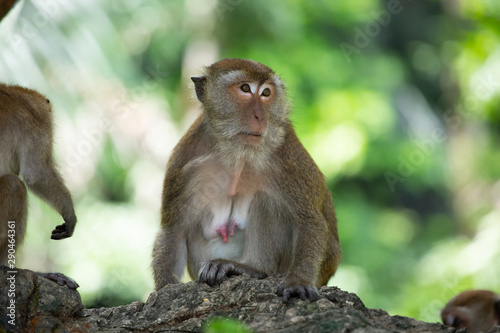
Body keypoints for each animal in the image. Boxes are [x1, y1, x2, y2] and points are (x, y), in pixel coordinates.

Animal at [152, 57, 340, 300]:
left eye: (266, 93)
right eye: (245, 89)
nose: (260, 116)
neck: (238, 153)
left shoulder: (287, 157)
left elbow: (309, 220)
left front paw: (298, 281)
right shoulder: (184, 161)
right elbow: (173, 231)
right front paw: (165, 290)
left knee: (266, 200)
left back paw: (251, 268)